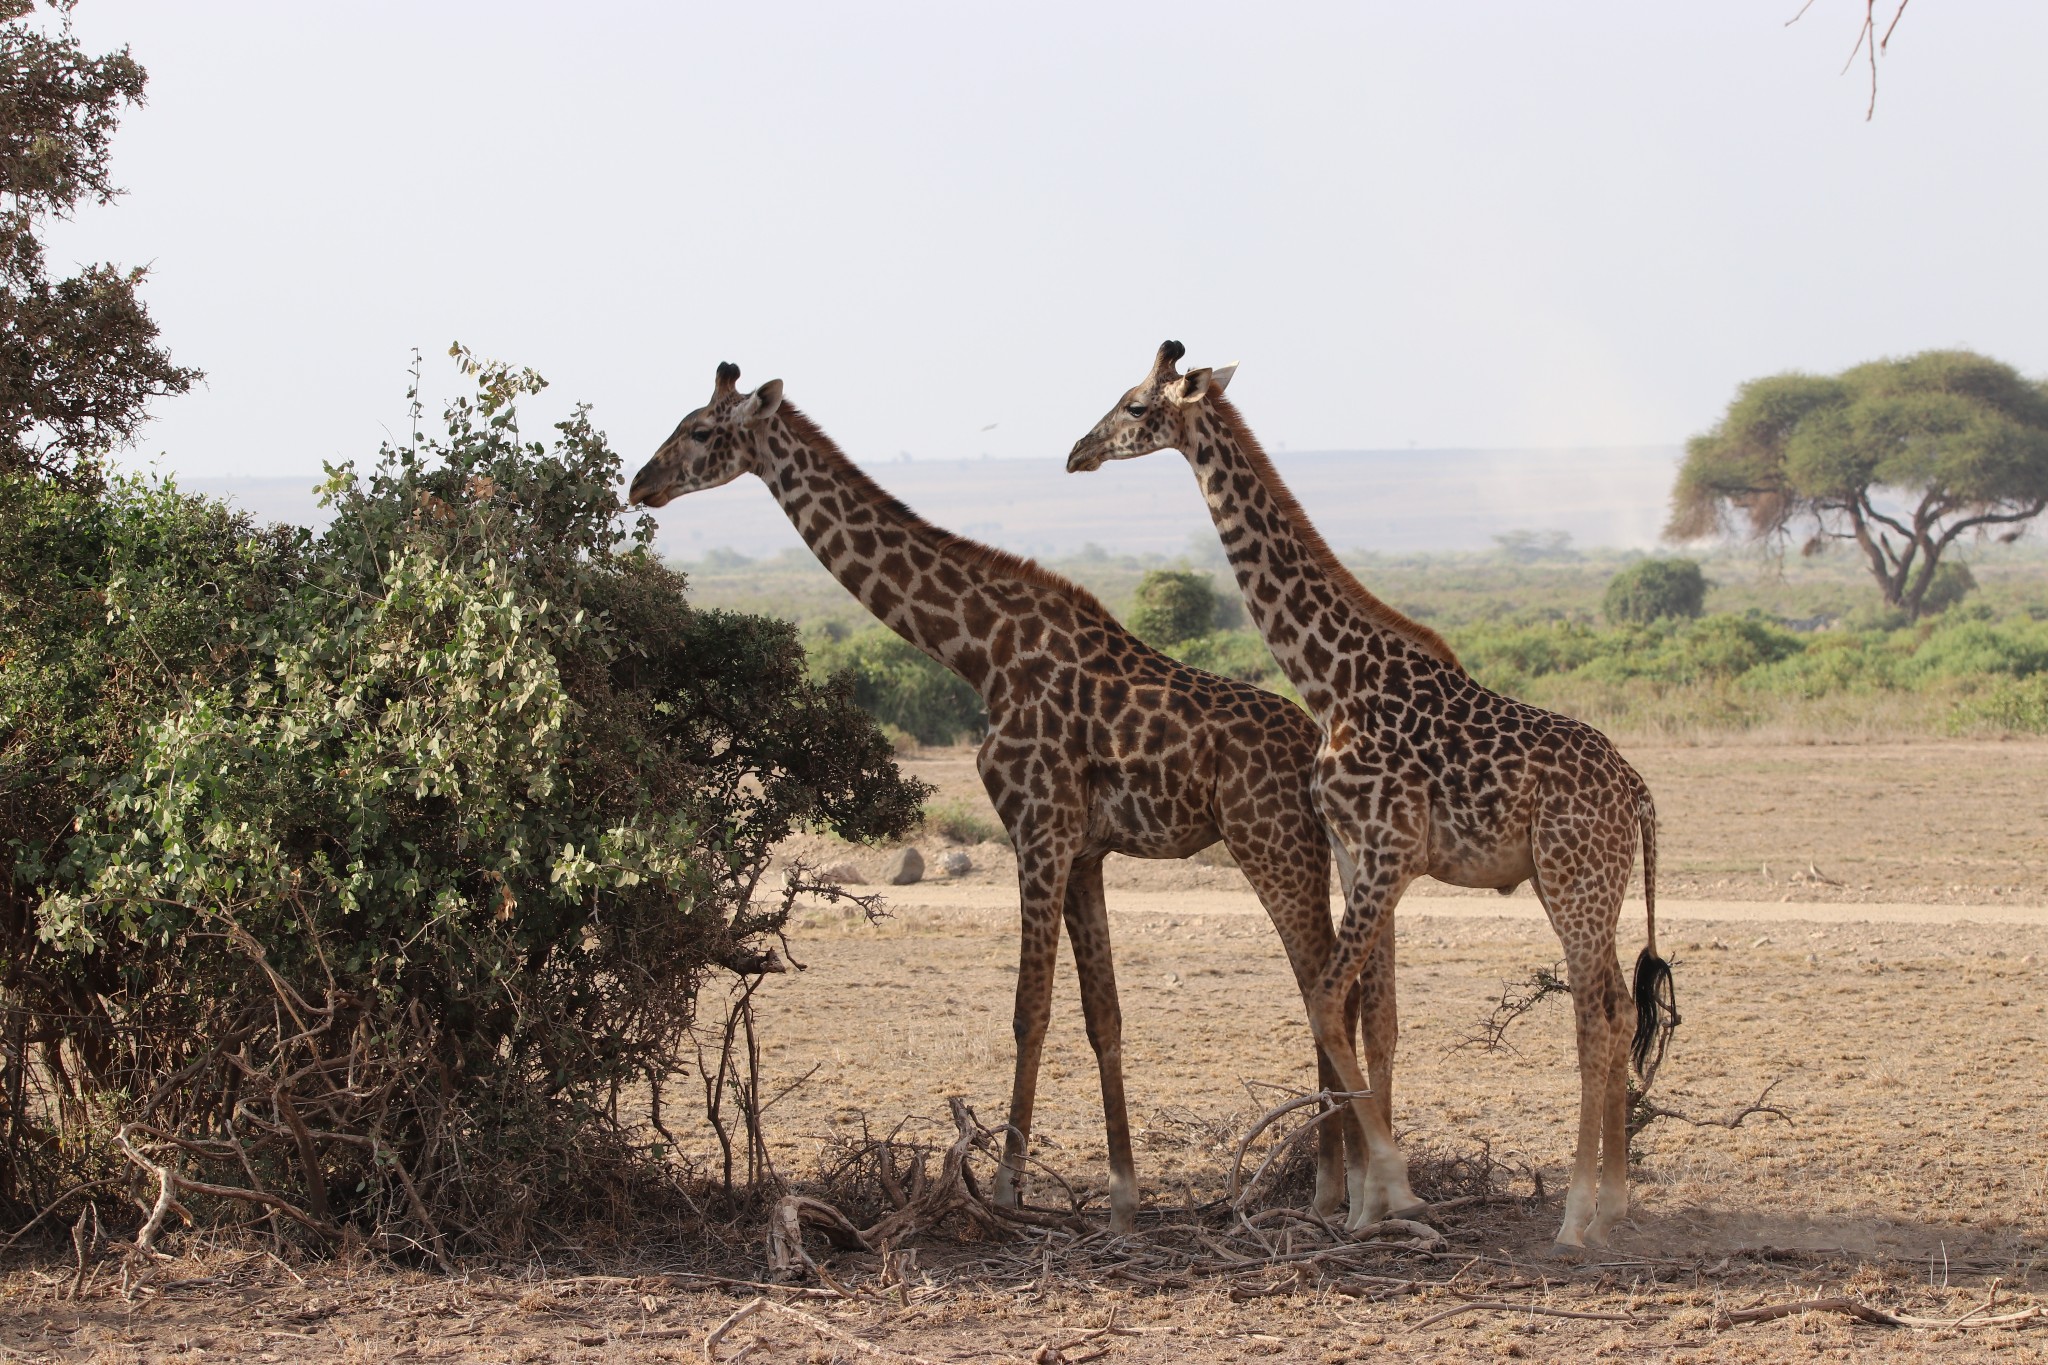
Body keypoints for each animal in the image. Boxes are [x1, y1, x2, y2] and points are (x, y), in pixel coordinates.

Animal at [622, 368, 1400, 1236]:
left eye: (699, 430)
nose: (641, 484)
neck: (979, 650)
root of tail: (1316, 747)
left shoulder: (1037, 828)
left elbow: (1029, 1008)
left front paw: (1003, 1186)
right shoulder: (1084, 849)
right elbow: (1103, 1016)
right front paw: (1122, 1194)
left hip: (1271, 844)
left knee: (1326, 988)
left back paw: (1339, 1188)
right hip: (1302, 849)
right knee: (1339, 987)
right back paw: (1340, 1184)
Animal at [1064, 343, 1671, 1252]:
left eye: (1136, 405)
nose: (1077, 453)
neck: (1332, 681)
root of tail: (1635, 788)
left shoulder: (1387, 853)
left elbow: (1324, 997)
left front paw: (1394, 1192)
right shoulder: (1364, 856)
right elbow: (1370, 1015)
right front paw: (1363, 1208)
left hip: (1573, 881)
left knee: (1594, 1021)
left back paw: (1575, 1220)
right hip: (1594, 883)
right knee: (1619, 1010)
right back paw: (1616, 1207)